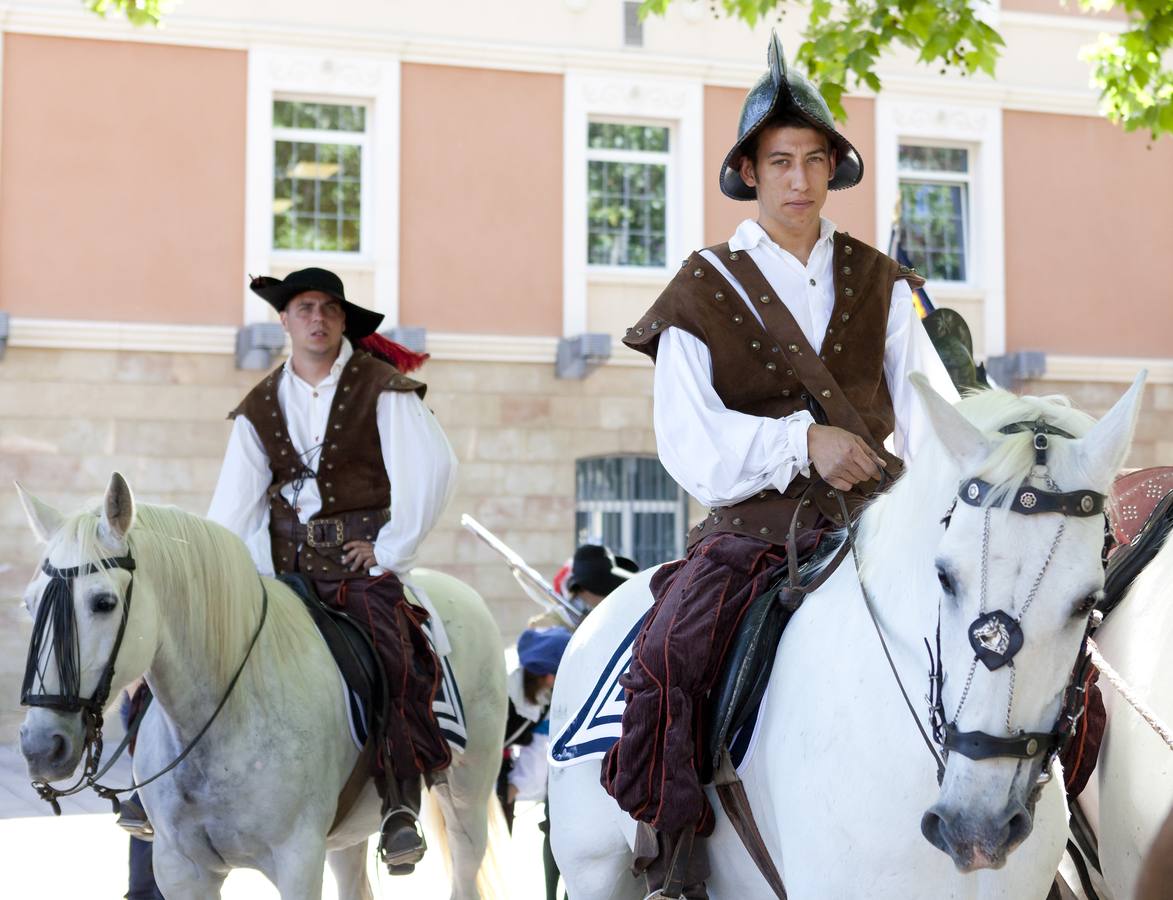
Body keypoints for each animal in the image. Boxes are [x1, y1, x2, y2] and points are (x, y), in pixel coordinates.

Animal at [16, 474, 506, 896]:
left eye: (104, 602)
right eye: (29, 605)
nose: (41, 746)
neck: (224, 720)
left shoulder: (297, 863)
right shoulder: (180, 869)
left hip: (467, 802)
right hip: (347, 836)